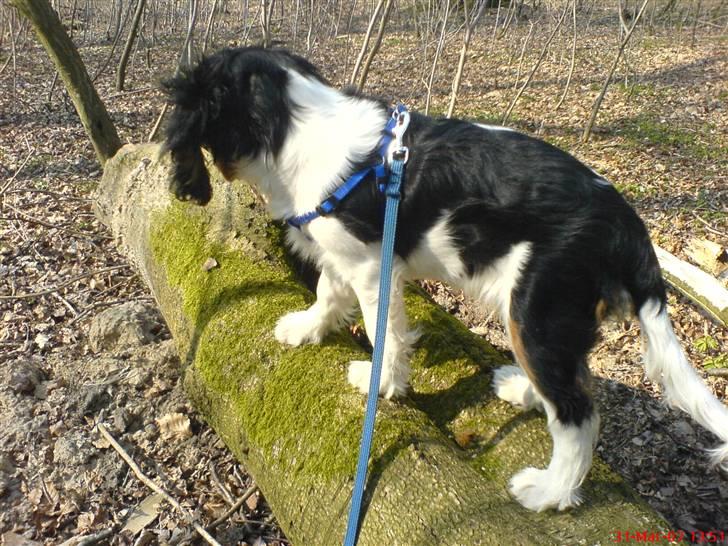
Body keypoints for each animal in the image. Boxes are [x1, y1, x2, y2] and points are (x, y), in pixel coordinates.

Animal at [165, 45, 728, 510]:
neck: (295, 125)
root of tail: (627, 223)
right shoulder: (347, 254)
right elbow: (327, 291)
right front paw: (306, 328)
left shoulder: (372, 267)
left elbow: (384, 333)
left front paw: (382, 385)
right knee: (570, 381)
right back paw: (523, 391)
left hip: (535, 308)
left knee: (577, 412)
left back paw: (550, 492)